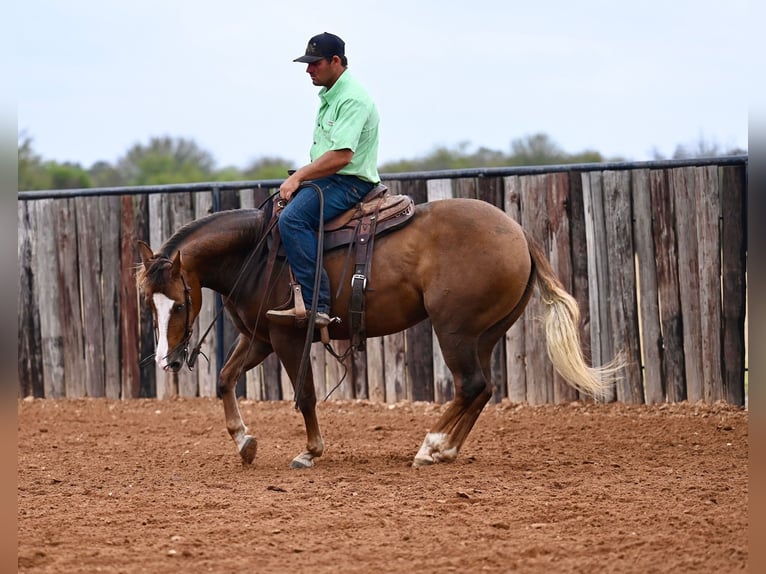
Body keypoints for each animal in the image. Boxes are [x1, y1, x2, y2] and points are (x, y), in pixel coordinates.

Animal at [136, 197, 616, 468]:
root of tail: (517, 232)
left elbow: (305, 395)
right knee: (482, 388)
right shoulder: (260, 338)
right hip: (484, 334)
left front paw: (310, 451)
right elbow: (224, 379)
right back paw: (446, 450)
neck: (256, 251)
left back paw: (429, 445)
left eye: (179, 303)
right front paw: (244, 442)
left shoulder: (289, 336)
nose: (167, 360)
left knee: (470, 385)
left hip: (455, 331)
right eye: (148, 303)